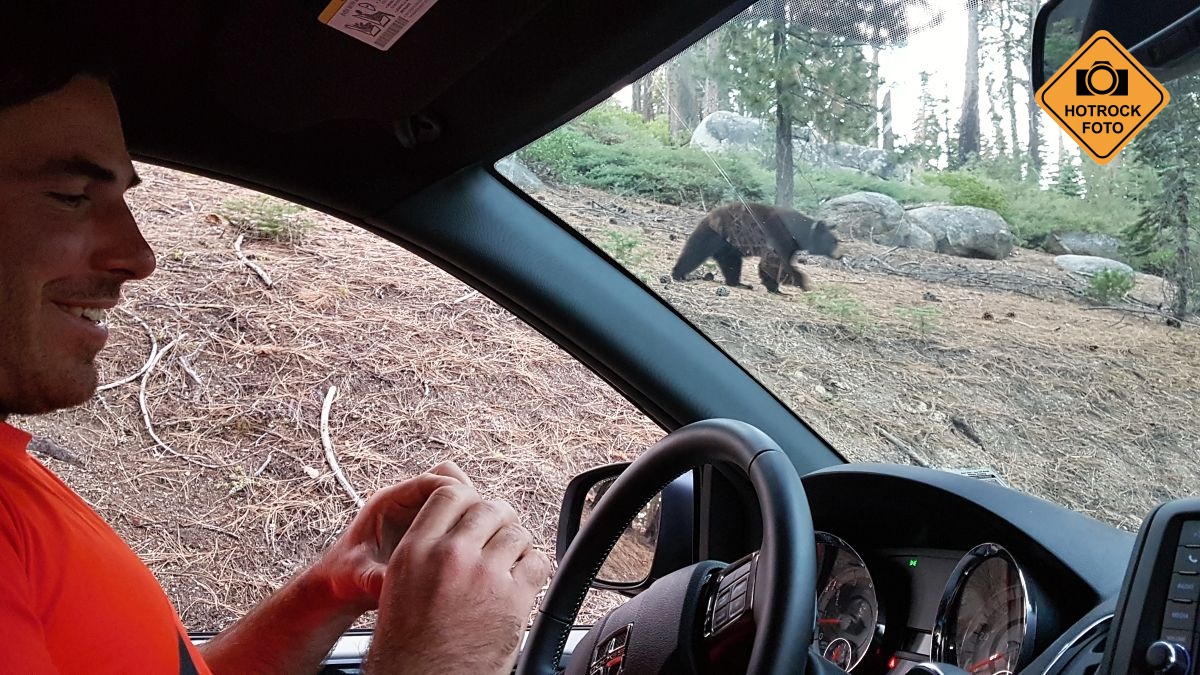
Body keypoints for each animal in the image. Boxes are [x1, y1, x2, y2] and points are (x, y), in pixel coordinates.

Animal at [672, 201, 840, 291]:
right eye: (834, 242)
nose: (840, 255)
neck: (798, 232)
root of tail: (709, 216)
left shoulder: (790, 246)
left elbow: (774, 264)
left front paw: (773, 286)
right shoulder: (779, 235)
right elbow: (775, 262)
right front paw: (803, 282)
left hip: (729, 247)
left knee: (731, 264)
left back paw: (738, 283)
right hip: (715, 236)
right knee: (694, 252)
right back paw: (678, 273)